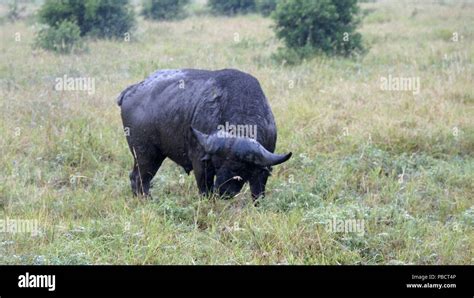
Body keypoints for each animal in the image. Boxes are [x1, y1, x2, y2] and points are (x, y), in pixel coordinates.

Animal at [116, 68, 290, 201]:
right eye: (217, 164)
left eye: (238, 167)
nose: (222, 191)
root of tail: (132, 90)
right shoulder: (201, 164)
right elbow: (205, 190)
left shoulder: (262, 170)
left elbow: (258, 195)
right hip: (145, 155)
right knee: (139, 179)